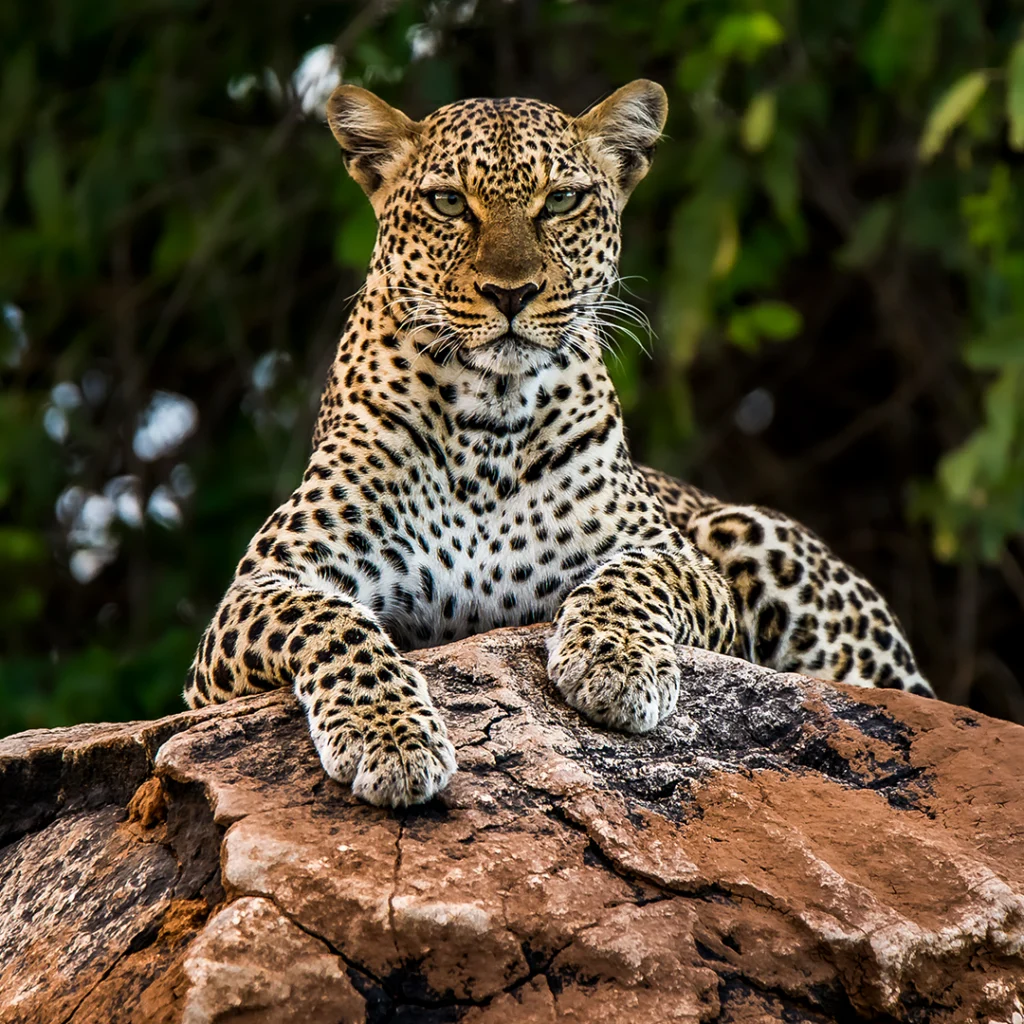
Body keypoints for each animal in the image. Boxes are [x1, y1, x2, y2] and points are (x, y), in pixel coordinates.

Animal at [184, 80, 934, 809]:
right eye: (449, 203)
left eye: (562, 201)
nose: (510, 294)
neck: (488, 421)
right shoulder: (257, 592)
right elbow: (331, 621)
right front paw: (390, 737)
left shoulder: (680, 560)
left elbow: (632, 578)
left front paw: (614, 663)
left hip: (748, 531)